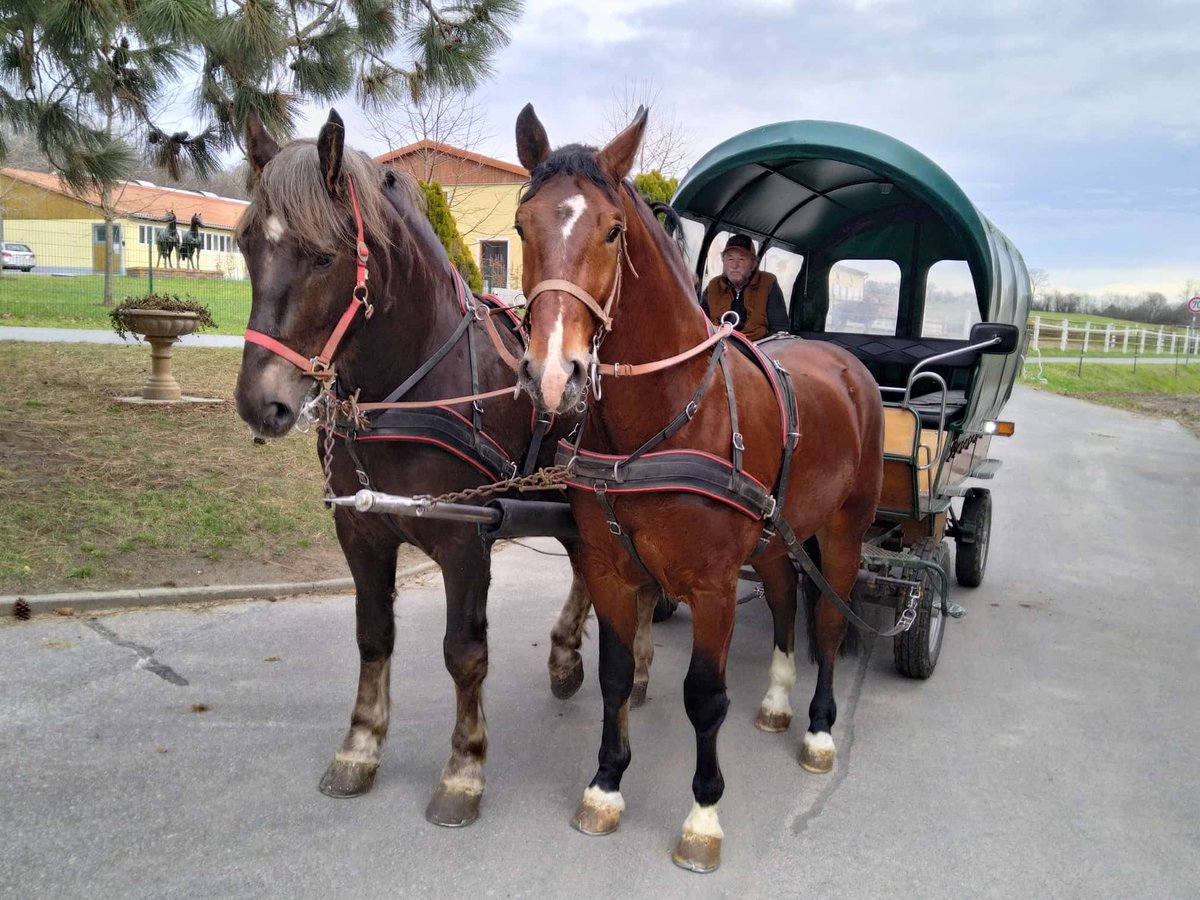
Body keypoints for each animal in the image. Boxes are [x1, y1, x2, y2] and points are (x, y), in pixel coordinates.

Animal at [234, 109, 609, 830]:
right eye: (244, 245)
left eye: (322, 256)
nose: (259, 402)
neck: (406, 393)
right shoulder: (361, 534)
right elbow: (373, 636)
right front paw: (359, 747)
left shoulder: (467, 541)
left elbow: (464, 653)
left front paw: (463, 769)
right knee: (585, 563)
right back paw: (566, 656)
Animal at [511, 105, 888, 873]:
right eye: (521, 225)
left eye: (612, 230)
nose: (552, 373)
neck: (669, 413)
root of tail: (845, 362)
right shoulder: (611, 570)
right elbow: (616, 676)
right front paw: (605, 786)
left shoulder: (712, 584)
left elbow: (705, 696)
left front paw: (703, 816)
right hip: (777, 532)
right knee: (784, 595)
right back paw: (777, 699)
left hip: (845, 528)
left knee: (829, 622)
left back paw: (818, 728)